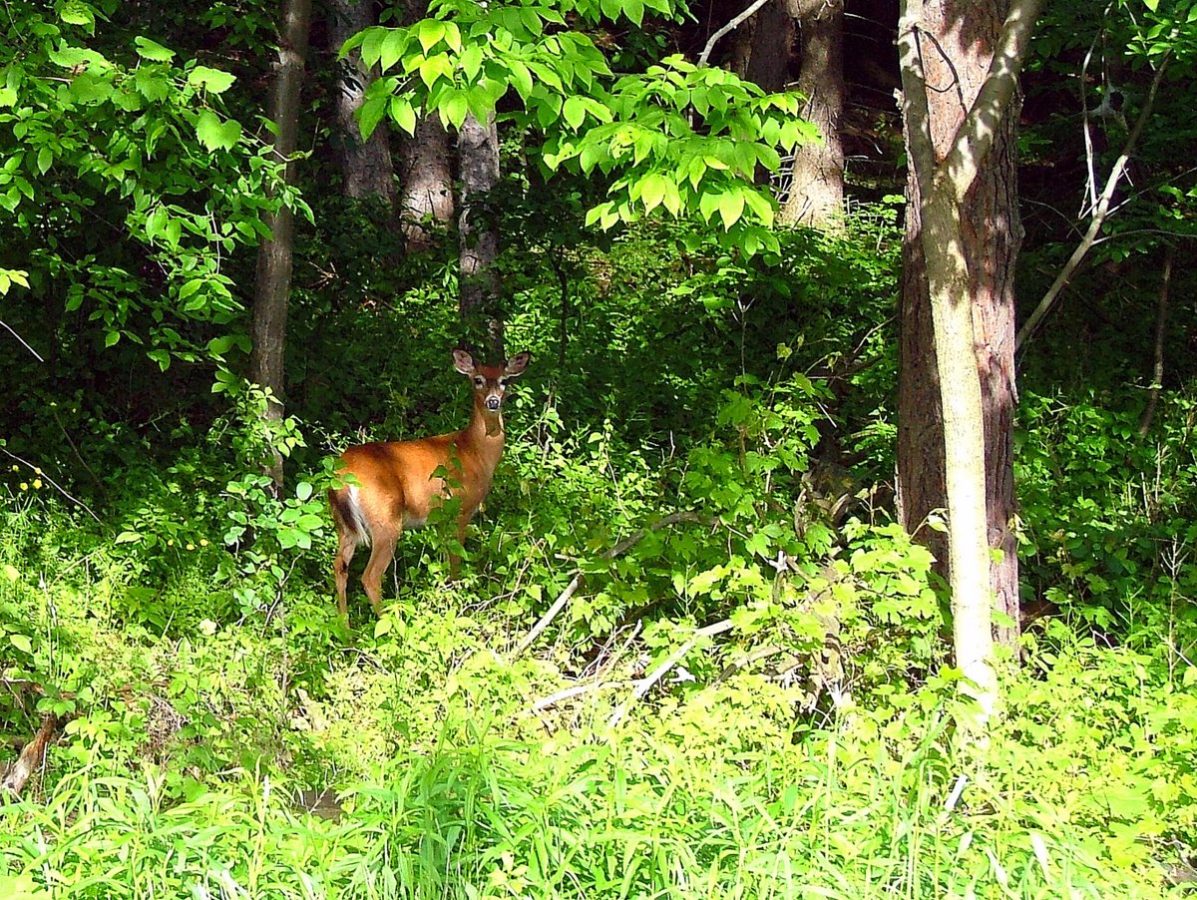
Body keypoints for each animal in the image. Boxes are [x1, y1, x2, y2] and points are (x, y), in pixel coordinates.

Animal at [330, 347, 531, 622]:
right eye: (477, 380)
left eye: (504, 381)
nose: (493, 402)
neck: (474, 451)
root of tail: (344, 473)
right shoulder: (460, 508)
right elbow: (455, 562)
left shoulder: (439, 519)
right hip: (385, 518)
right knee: (370, 576)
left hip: (344, 525)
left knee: (339, 566)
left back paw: (345, 627)